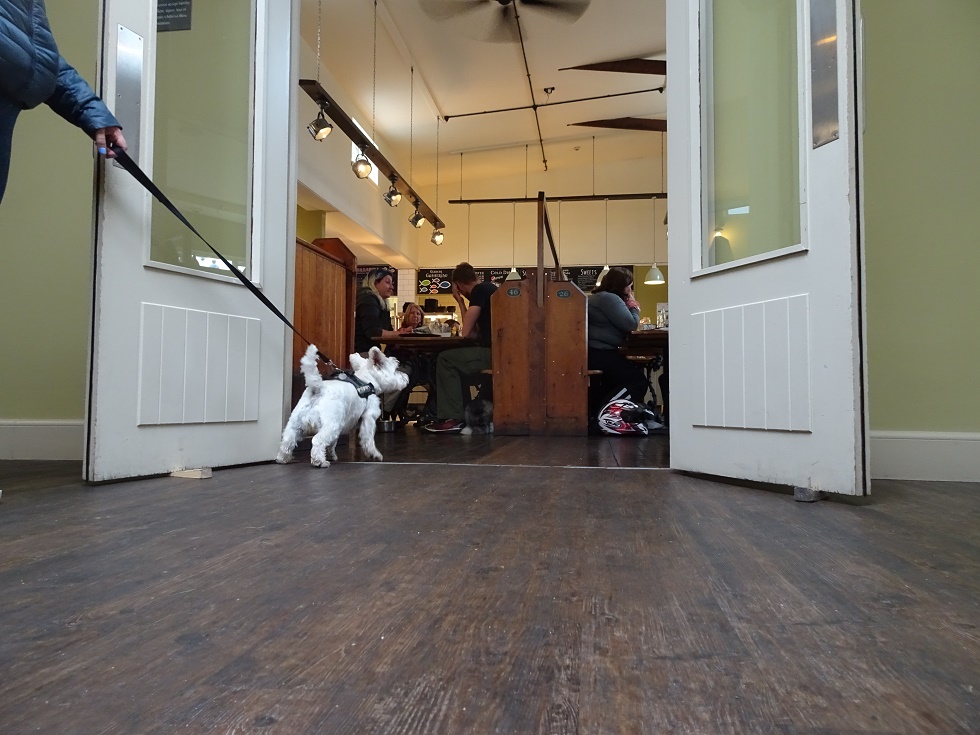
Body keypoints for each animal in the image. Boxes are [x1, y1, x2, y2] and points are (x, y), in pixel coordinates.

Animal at [278, 344, 408, 466]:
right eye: (396, 370)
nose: (406, 377)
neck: (366, 381)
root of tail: (318, 389)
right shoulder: (369, 417)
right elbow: (368, 438)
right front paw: (374, 454)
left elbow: (332, 443)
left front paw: (332, 455)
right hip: (332, 425)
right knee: (317, 440)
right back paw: (320, 461)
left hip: (295, 424)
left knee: (287, 440)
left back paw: (283, 458)